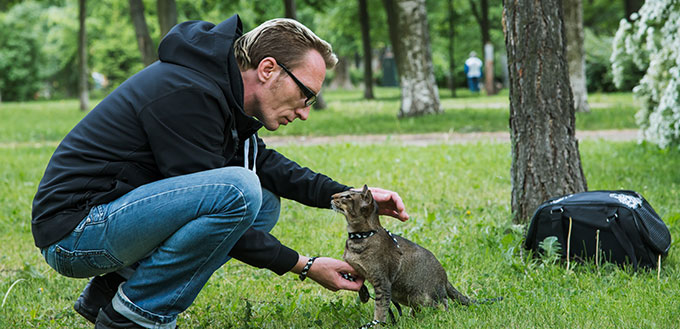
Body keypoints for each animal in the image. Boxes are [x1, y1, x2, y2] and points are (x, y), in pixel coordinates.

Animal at [332, 184, 476, 326]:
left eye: (347, 196)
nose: (332, 196)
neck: (359, 237)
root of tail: (445, 278)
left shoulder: (383, 283)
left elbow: (380, 311)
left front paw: (376, 324)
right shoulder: (357, 269)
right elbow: (359, 283)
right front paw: (363, 295)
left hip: (426, 297)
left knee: (443, 305)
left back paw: (440, 318)